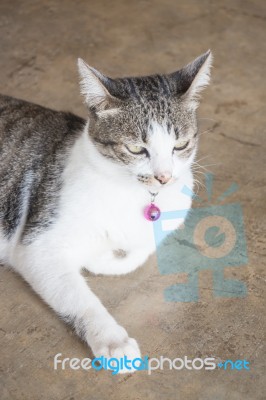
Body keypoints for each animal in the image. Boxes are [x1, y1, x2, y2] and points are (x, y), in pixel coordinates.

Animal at [0, 50, 212, 372]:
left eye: (180, 145)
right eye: (136, 149)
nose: (163, 177)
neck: (133, 194)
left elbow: (135, 252)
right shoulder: (37, 246)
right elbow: (81, 296)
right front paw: (114, 341)